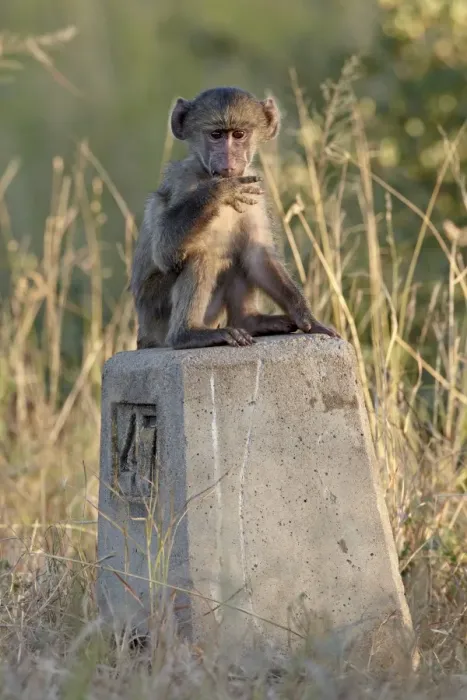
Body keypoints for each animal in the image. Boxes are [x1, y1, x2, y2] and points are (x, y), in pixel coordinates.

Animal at [131, 86, 339, 350]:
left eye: (239, 134)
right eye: (216, 135)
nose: (229, 161)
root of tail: (144, 336)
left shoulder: (255, 193)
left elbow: (258, 255)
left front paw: (309, 319)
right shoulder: (183, 180)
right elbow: (165, 252)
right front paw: (222, 190)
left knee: (239, 251)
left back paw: (250, 321)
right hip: (155, 313)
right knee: (202, 254)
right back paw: (188, 334)